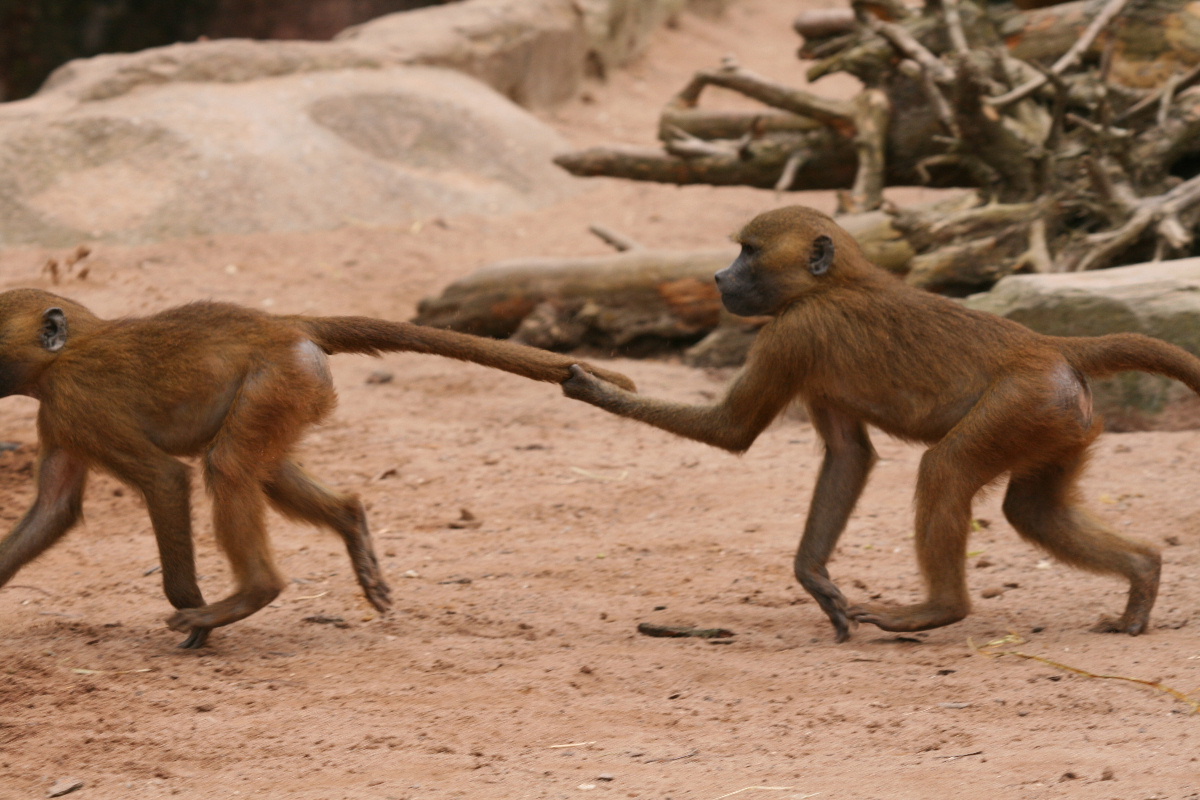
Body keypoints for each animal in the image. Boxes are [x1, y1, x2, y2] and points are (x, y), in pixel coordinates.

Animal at [0, 288, 635, 648]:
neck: (62, 355)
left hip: (277, 380)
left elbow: (165, 480)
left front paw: (193, 615)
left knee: (228, 467)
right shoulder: (60, 418)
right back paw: (352, 526)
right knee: (263, 469)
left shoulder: (79, 403)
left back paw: (251, 594)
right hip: (291, 390)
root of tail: (285, 325)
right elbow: (54, 509)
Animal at [563, 205, 1200, 642]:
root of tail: (1048, 345)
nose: (719, 278)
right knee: (1033, 510)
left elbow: (732, 431)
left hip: (1023, 402)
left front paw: (592, 386)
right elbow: (849, 455)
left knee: (946, 470)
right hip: (1059, 420)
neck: (836, 281)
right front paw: (816, 581)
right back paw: (1142, 580)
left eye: (748, 250)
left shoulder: (792, 333)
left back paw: (938, 610)